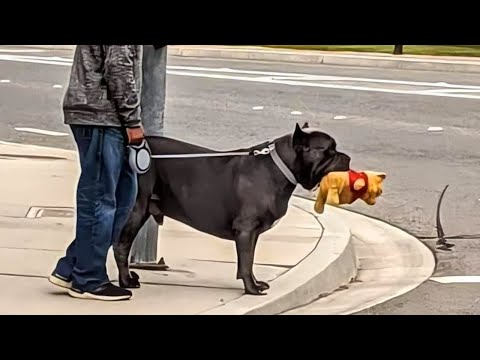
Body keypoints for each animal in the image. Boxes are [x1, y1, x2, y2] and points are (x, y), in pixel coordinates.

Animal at [114, 124, 350, 296]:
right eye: (329, 150)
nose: (347, 157)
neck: (280, 167)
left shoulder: (252, 234)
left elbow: (250, 260)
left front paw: (255, 283)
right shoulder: (246, 230)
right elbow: (245, 262)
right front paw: (251, 289)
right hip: (136, 210)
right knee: (121, 246)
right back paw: (126, 281)